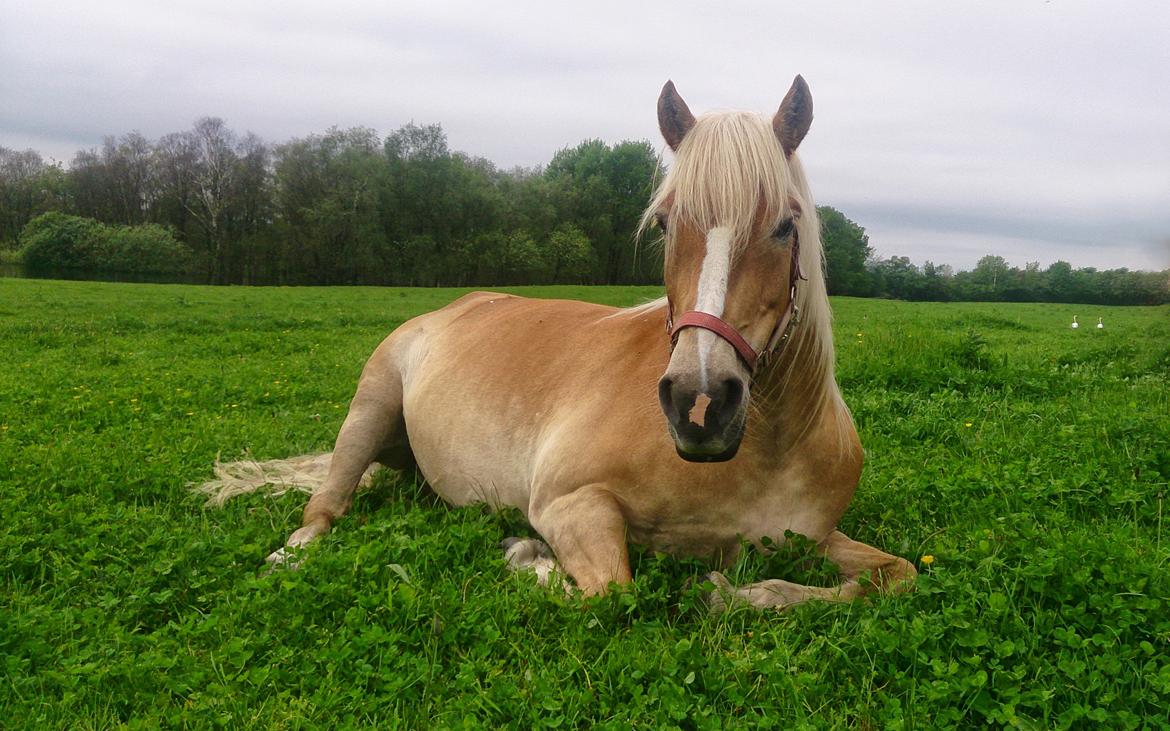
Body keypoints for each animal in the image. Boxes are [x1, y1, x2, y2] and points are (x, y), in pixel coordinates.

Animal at [198, 77, 912, 608]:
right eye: (664, 223)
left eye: (786, 226)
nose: (700, 403)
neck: (764, 455)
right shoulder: (571, 503)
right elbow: (610, 590)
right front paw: (525, 553)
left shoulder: (814, 538)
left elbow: (893, 575)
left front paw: (751, 594)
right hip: (369, 406)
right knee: (325, 505)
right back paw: (289, 555)